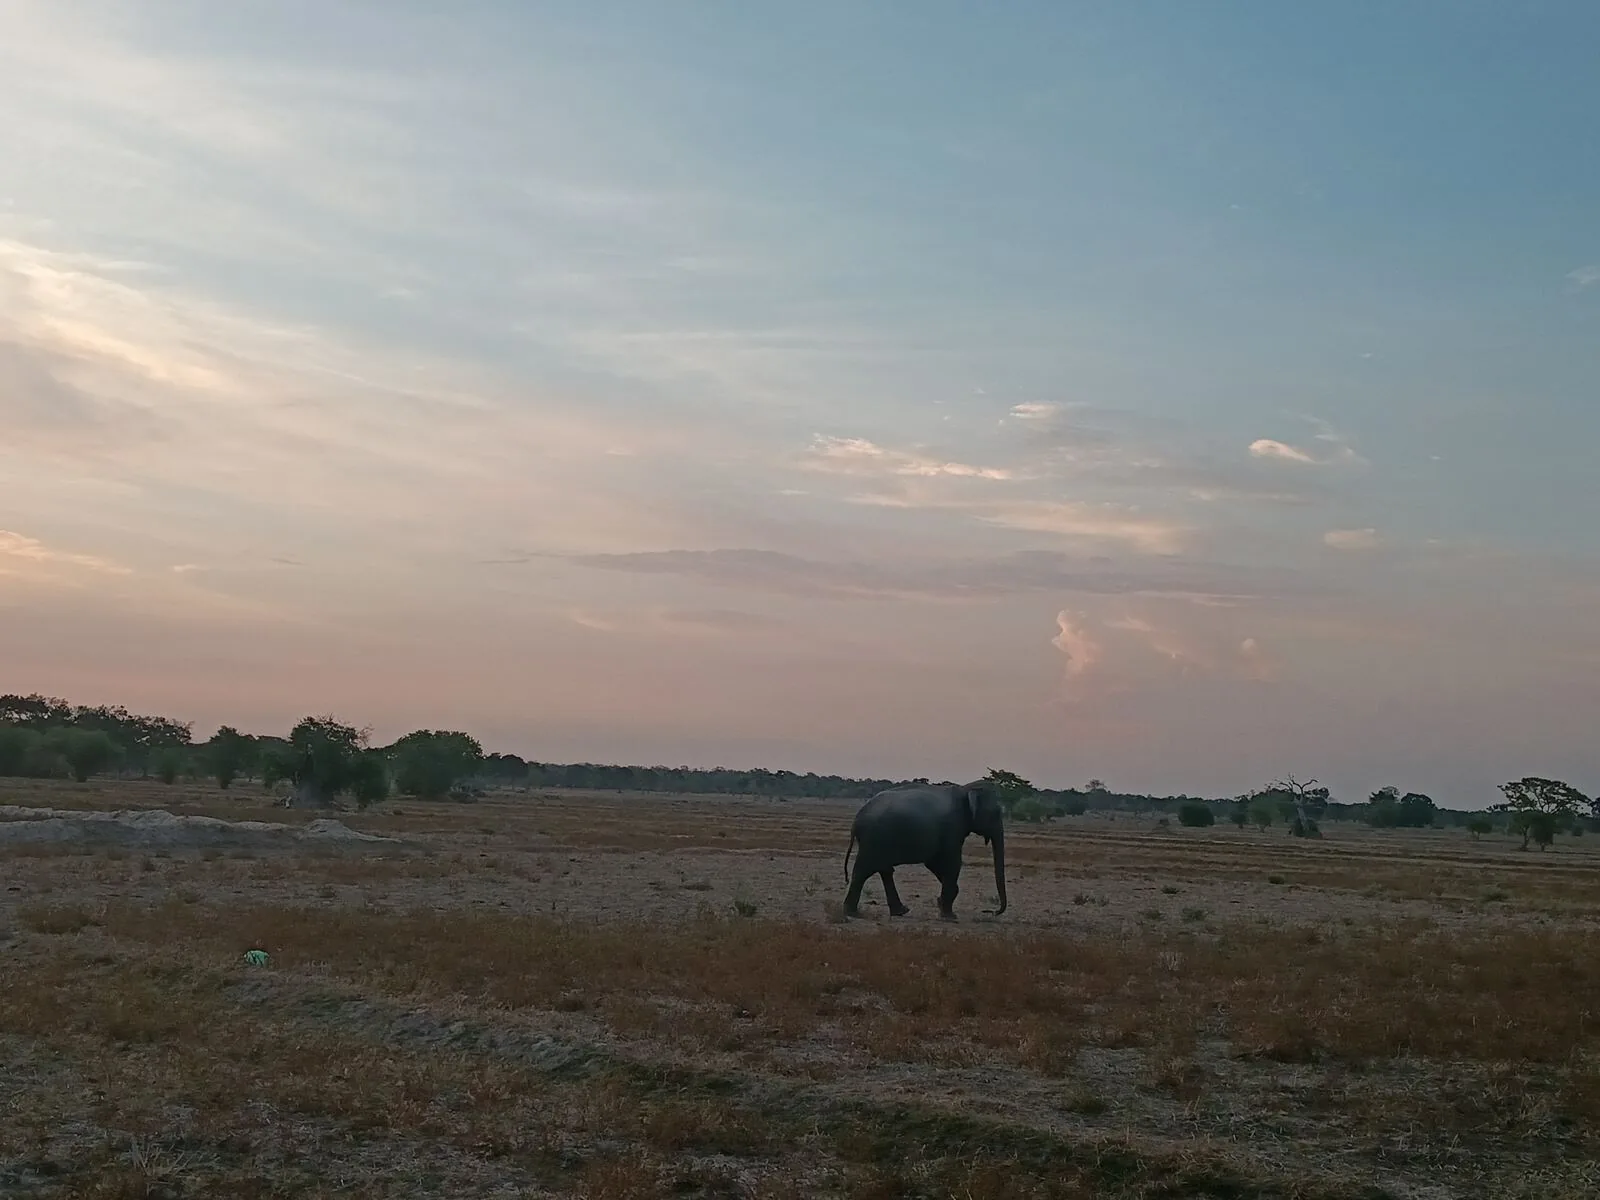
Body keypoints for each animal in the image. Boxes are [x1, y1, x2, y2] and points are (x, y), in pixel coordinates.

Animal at [841, 779, 1007, 921]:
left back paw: (899, 911)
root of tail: (856, 819)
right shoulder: (952, 827)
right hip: (874, 838)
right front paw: (949, 916)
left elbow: (934, 862)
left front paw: (942, 905)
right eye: (997, 812)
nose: (992, 912)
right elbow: (952, 862)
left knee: (883, 869)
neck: (965, 789)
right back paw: (854, 913)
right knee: (864, 871)